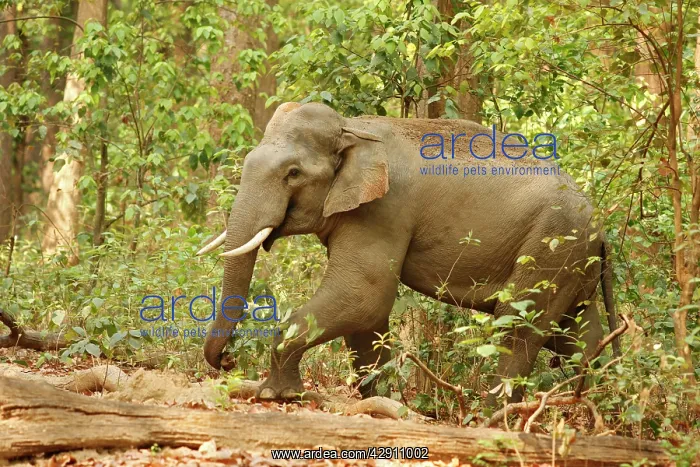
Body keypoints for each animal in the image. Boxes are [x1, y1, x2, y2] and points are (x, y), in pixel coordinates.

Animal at [198, 101, 619, 405]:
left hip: (552, 244)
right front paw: (378, 400)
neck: (354, 127)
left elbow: (363, 296)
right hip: (572, 261)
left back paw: (493, 416)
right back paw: (594, 404)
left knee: (518, 323)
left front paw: (279, 396)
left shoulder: (382, 210)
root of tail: (601, 228)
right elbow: (365, 314)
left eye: (293, 174)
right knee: (576, 333)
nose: (227, 361)